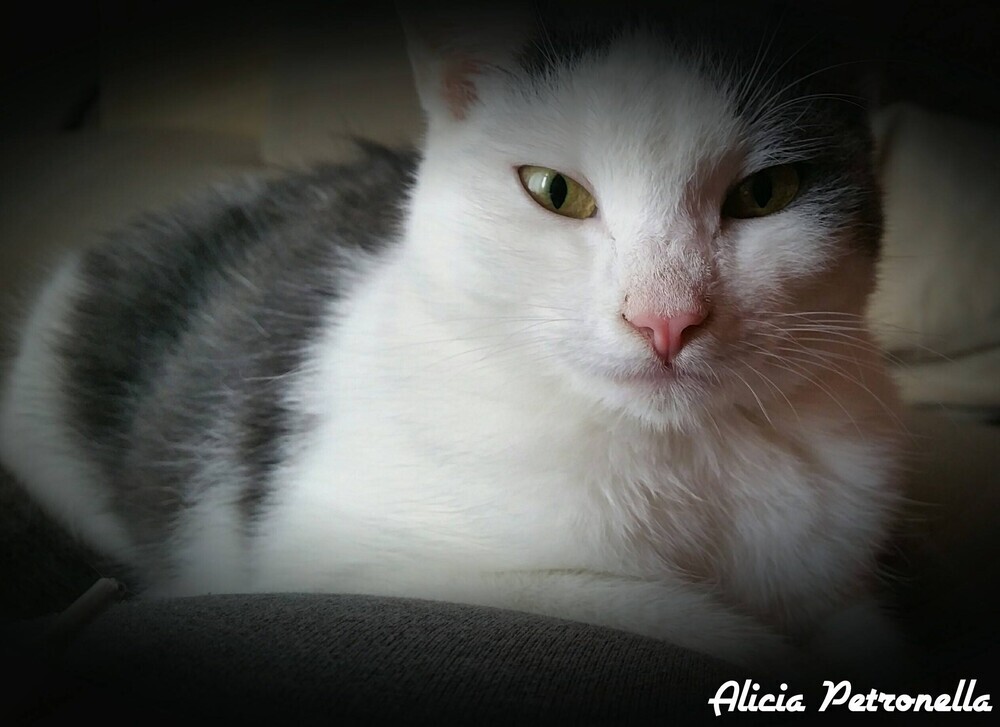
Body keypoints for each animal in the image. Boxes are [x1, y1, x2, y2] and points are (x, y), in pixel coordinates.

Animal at [0, 2, 904, 672]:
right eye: (555, 191)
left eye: (766, 192)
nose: (665, 315)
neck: (682, 452)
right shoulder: (349, 558)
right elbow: (679, 618)